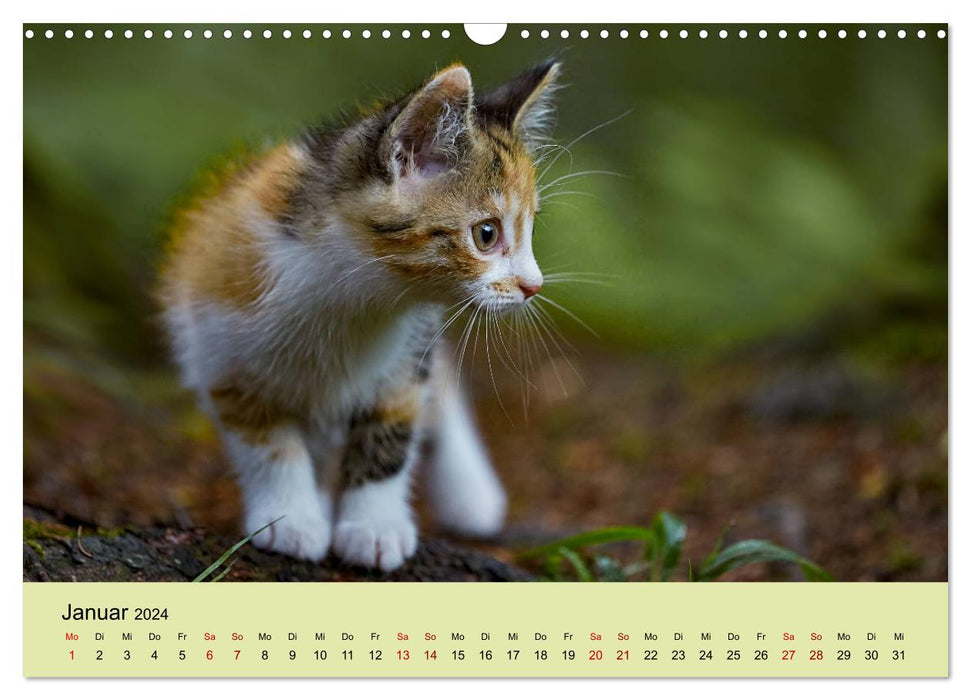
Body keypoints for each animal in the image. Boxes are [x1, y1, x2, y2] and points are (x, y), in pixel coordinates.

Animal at [161, 60, 560, 572]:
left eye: (529, 231)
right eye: (486, 234)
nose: (534, 286)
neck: (358, 295)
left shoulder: (409, 351)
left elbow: (392, 434)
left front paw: (373, 527)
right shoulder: (220, 349)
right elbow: (268, 446)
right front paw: (291, 520)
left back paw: (470, 495)